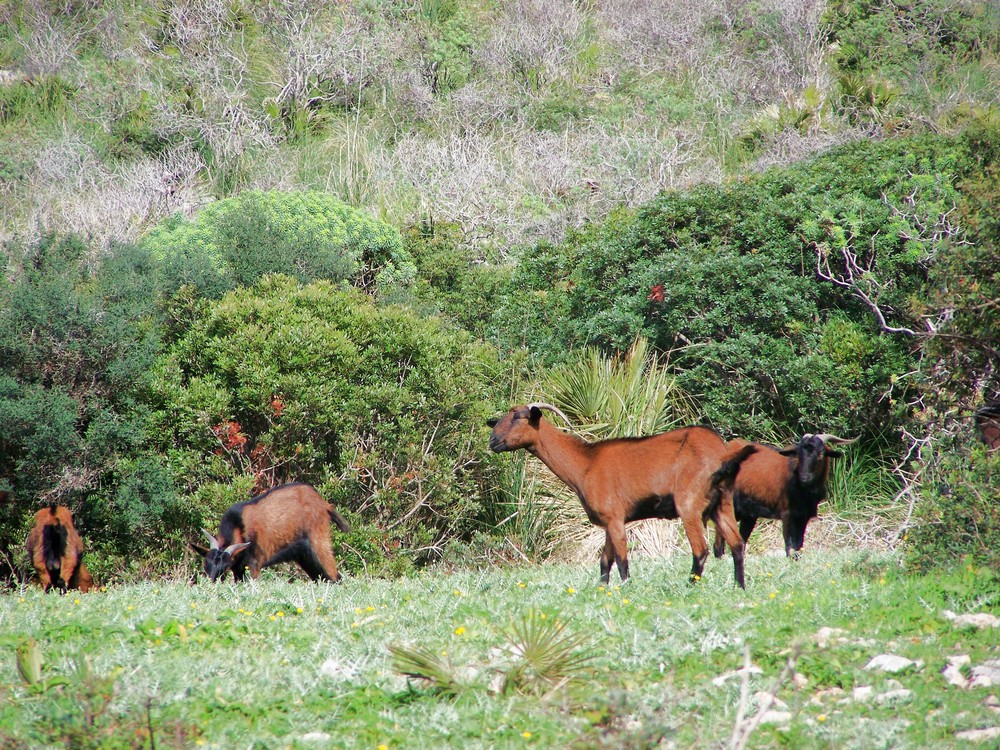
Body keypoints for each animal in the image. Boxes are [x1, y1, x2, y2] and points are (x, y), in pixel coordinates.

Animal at [191, 484, 352, 584]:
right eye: (206, 563)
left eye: (224, 567)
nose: (211, 582)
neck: (239, 524)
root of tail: (324, 505)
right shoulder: (238, 567)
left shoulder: (254, 564)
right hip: (305, 556)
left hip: (319, 543)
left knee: (335, 576)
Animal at [488, 402, 752, 592]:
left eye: (518, 417)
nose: (493, 441)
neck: (585, 464)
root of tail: (721, 452)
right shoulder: (607, 522)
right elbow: (605, 561)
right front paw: (602, 590)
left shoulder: (615, 518)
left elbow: (622, 560)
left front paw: (625, 590)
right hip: (722, 504)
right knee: (737, 544)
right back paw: (739, 588)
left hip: (689, 505)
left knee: (701, 550)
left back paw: (689, 588)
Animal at [708, 432, 856, 560]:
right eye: (799, 454)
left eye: (821, 454)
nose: (804, 478)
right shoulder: (787, 514)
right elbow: (789, 545)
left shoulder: (803, 517)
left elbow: (799, 545)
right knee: (719, 542)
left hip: (748, 515)